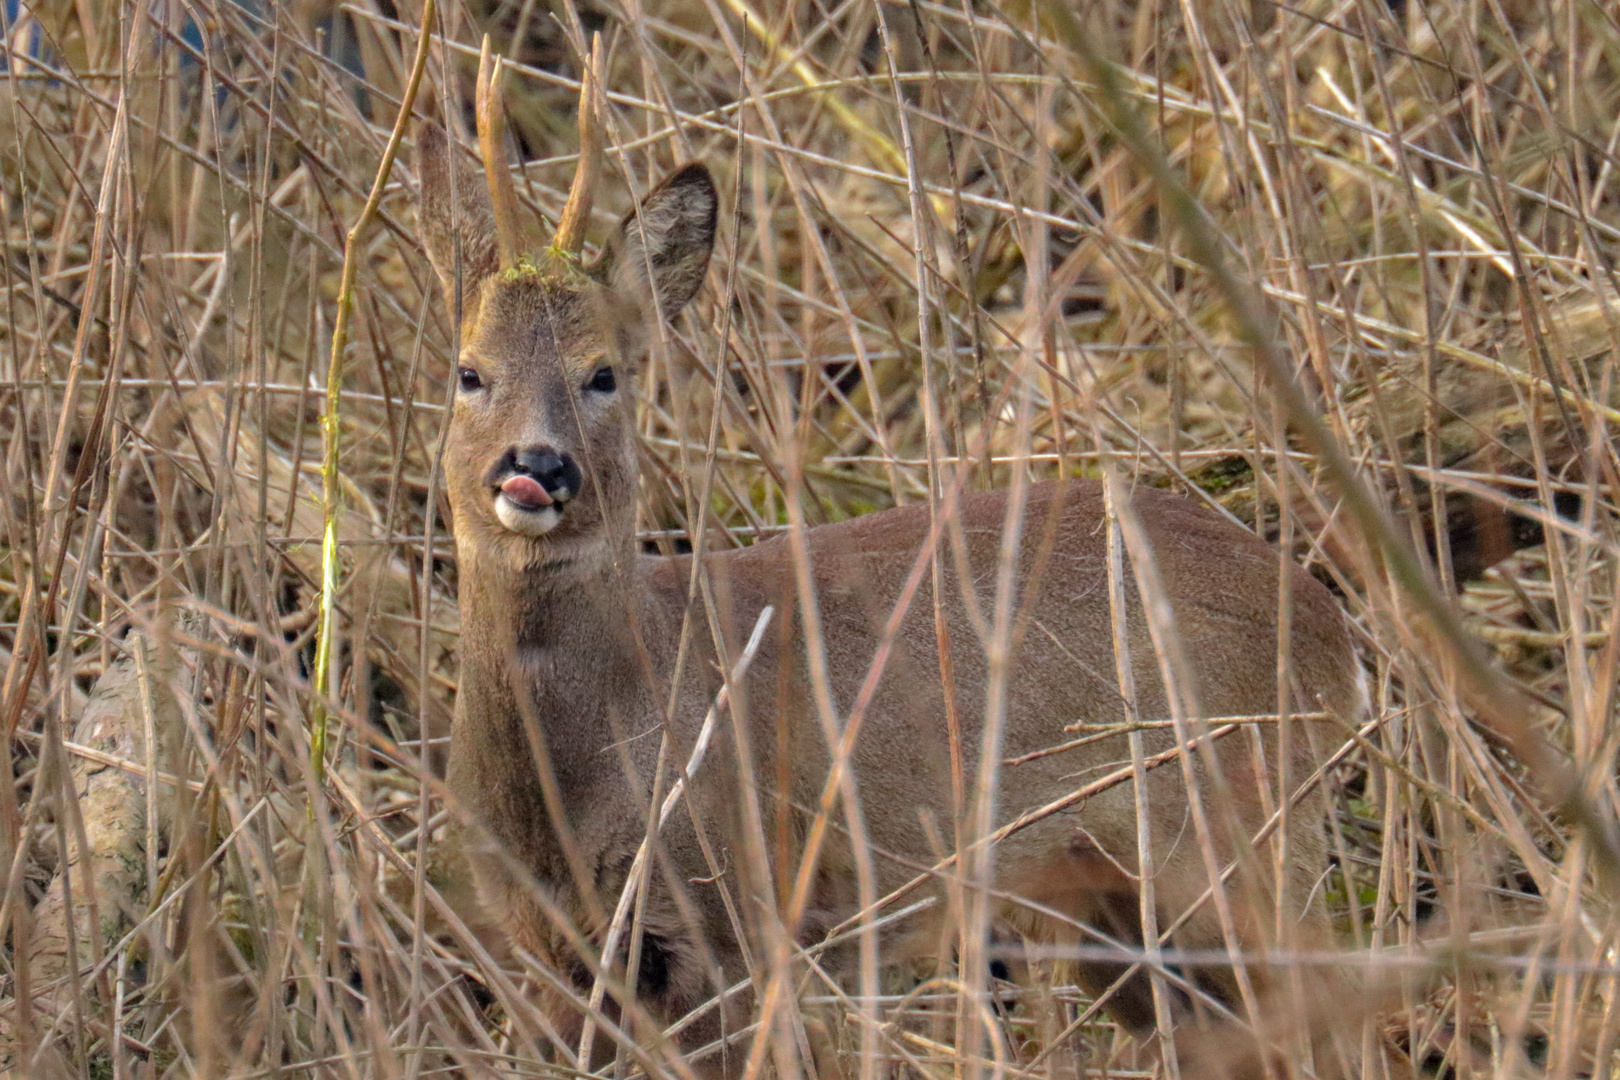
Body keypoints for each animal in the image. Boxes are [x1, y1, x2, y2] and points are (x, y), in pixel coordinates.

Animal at [421, 40, 1367, 1075]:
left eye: (603, 373)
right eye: (469, 372)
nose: (536, 467)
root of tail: (1335, 634)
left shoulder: (726, 916)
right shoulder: (547, 961)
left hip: (1237, 836)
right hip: (1116, 911)